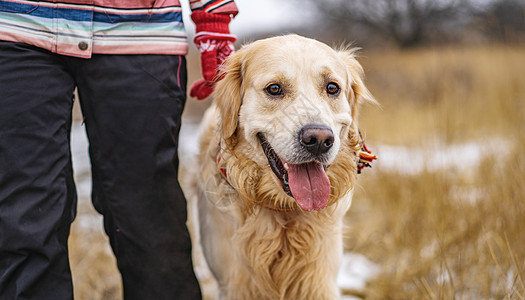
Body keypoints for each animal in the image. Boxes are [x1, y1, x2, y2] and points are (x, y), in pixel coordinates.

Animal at [184, 35, 372, 300]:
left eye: (332, 88)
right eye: (274, 89)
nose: (319, 140)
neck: (283, 208)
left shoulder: (319, 279)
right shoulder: (235, 282)